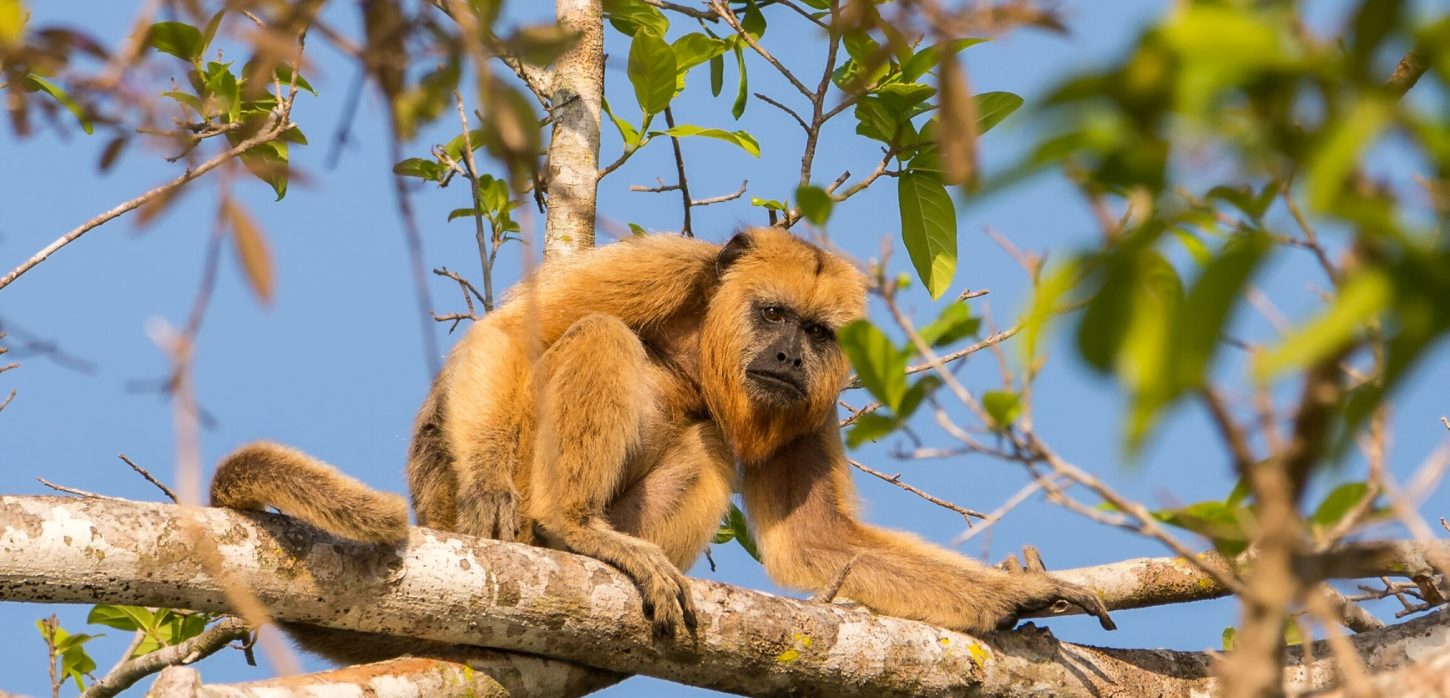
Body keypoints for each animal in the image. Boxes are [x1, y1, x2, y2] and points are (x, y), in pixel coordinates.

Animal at [209, 227, 1114, 664]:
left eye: (819, 334)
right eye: (774, 314)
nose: (790, 358)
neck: (705, 343)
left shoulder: (816, 408)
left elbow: (819, 544)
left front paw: (1019, 595)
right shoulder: (669, 265)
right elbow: (509, 332)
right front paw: (495, 488)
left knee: (708, 439)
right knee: (599, 335)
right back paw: (568, 527)